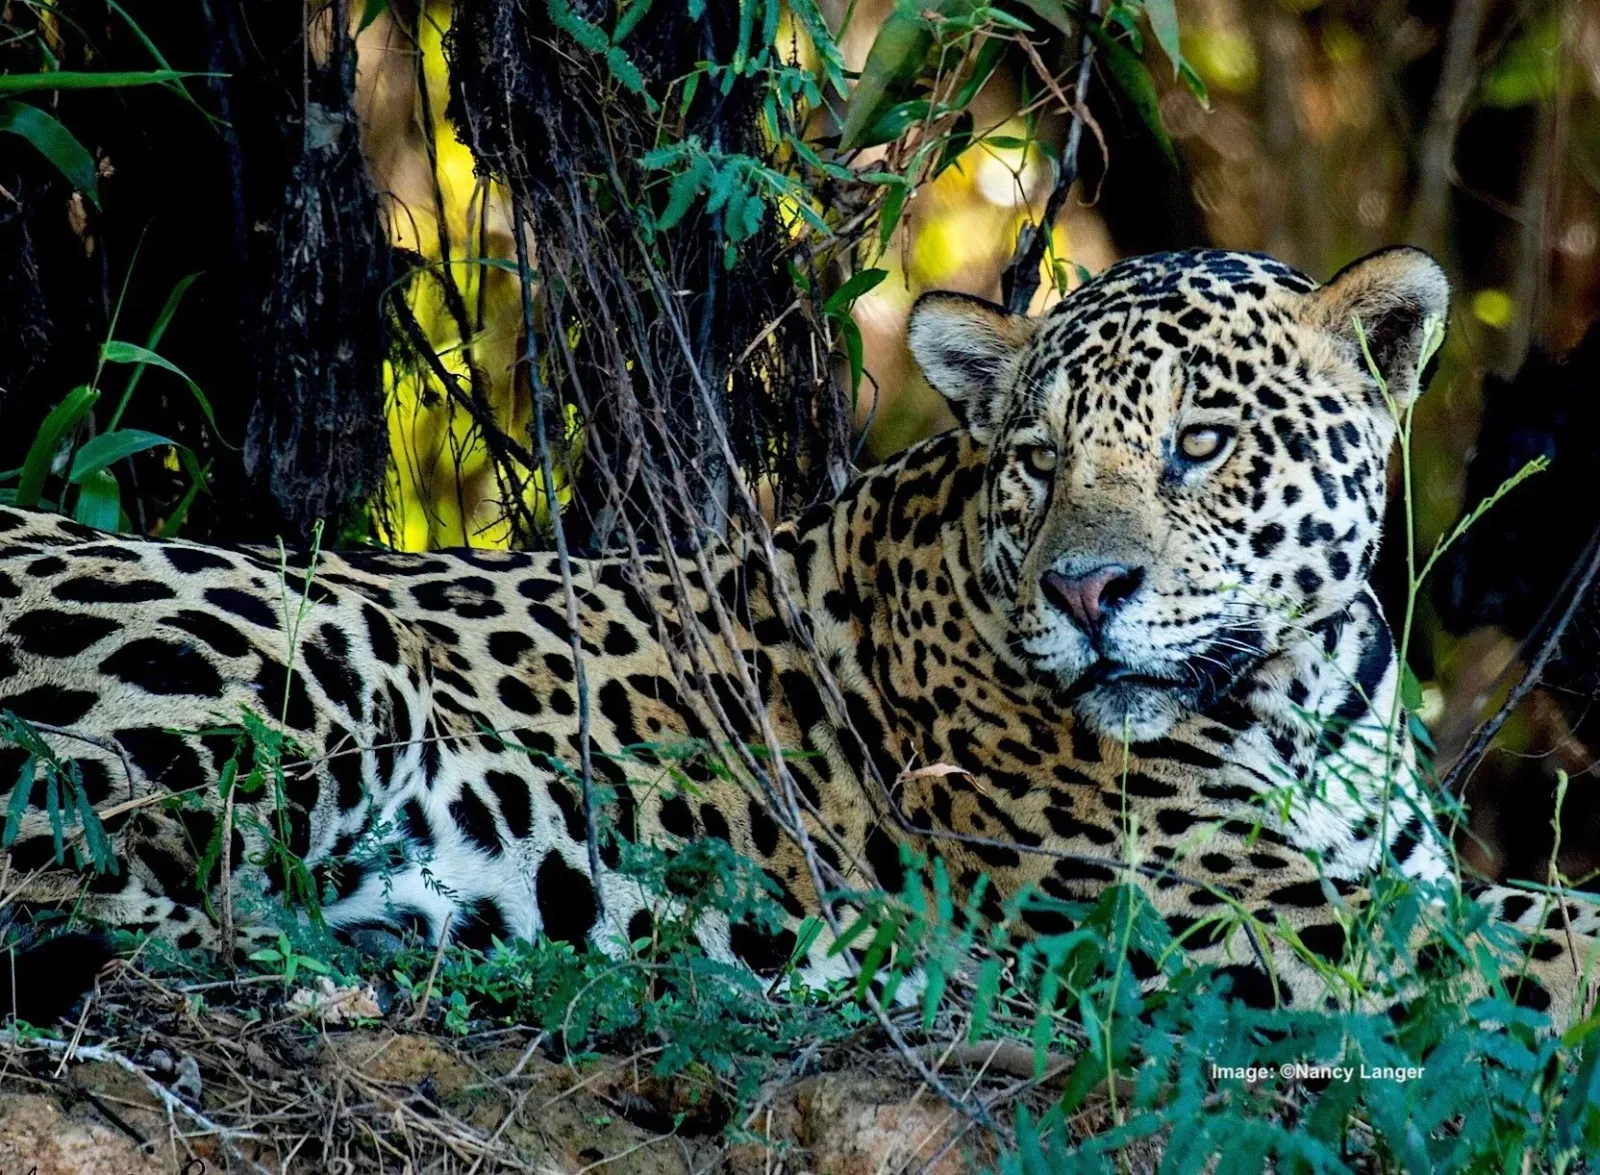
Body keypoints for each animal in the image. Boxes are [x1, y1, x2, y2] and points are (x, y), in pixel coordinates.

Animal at [0, 245, 1595, 1028]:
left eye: (1200, 443)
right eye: (1035, 459)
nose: (1086, 592)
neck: (1306, 694)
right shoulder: (1245, 915)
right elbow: (1551, 935)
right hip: (320, 640)